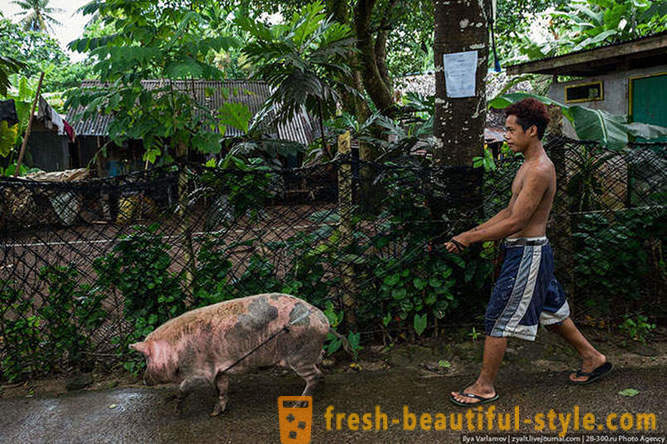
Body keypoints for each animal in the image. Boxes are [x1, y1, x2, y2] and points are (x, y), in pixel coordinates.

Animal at [129, 294, 332, 414]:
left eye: (146, 358)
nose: (144, 380)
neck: (176, 350)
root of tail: (323, 318)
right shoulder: (220, 370)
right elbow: (222, 388)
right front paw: (215, 413)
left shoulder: (202, 372)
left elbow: (184, 387)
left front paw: (177, 411)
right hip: (307, 353)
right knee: (320, 363)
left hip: (299, 355)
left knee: (313, 375)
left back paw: (298, 404)